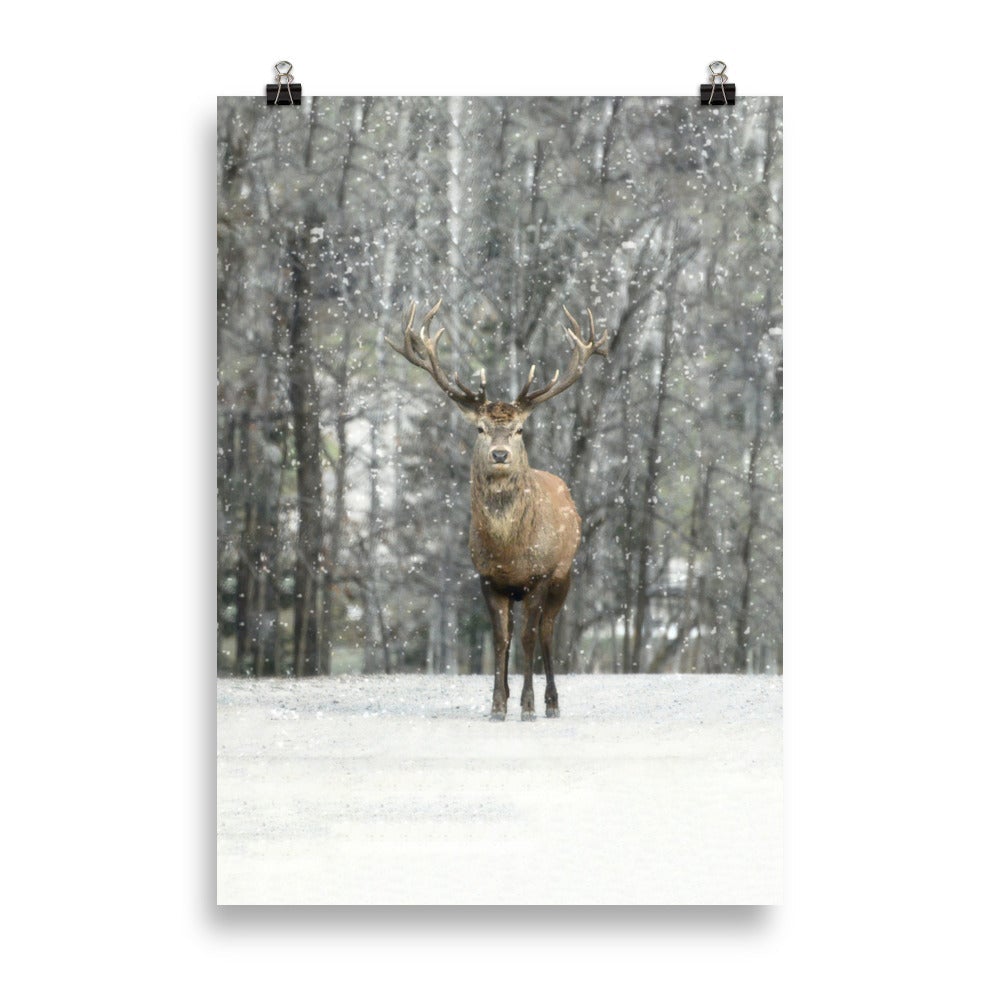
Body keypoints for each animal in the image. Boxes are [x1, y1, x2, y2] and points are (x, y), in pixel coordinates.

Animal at [388, 300, 608, 720]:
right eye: (480, 429)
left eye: (519, 429)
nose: (501, 454)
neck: (509, 551)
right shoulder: (488, 578)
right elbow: (499, 639)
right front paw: (497, 703)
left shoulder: (538, 575)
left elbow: (527, 637)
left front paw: (528, 706)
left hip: (564, 574)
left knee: (548, 632)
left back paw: (552, 702)